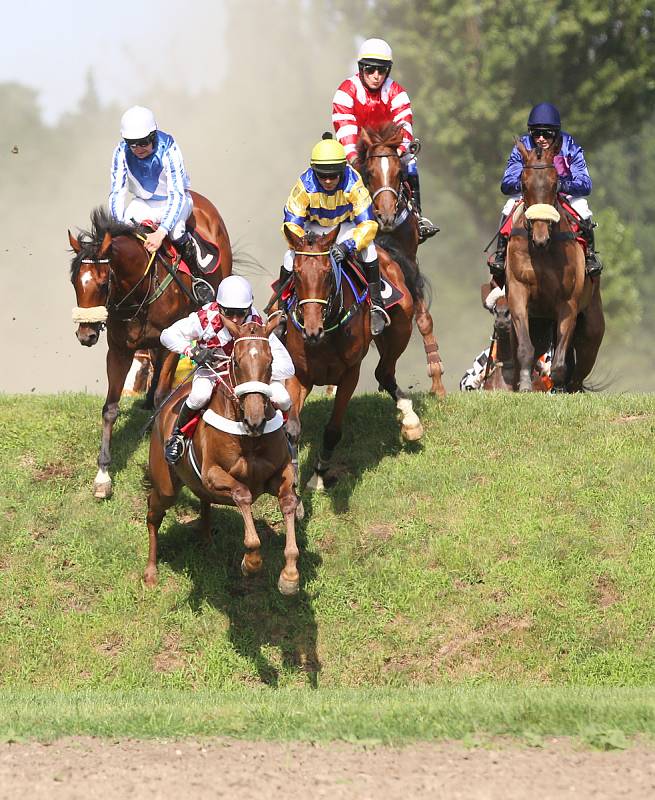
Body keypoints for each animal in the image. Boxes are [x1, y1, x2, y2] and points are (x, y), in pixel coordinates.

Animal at [69, 191, 232, 496]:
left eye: (103, 283)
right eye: (74, 281)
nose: (86, 335)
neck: (140, 291)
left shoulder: (170, 344)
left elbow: (163, 397)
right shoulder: (119, 350)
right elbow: (110, 408)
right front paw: (103, 474)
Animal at [282, 222, 430, 490]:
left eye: (327, 273)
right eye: (296, 274)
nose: (311, 331)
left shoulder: (350, 374)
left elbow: (332, 430)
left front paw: (319, 474)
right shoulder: (299, 374)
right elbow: (293, 427)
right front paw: (294, 477)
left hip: (401, 329)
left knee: (384, 371)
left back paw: (410, 420)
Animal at [356, 123, 448, 396]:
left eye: (399, 173)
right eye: (371, 173)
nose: (386, 216)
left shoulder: (410, 262)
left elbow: (424, 320)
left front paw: (437, 382)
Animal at [508, 144, 604, 394]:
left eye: (554, 184)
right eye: (523, 184)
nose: (540, 238)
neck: (543, 251)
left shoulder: (567, 303)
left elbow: (560, 362)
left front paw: (557, 389)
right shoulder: (518, 292)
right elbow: (525, 347)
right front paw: (525, 385)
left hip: (591, 329)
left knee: (579, 372)